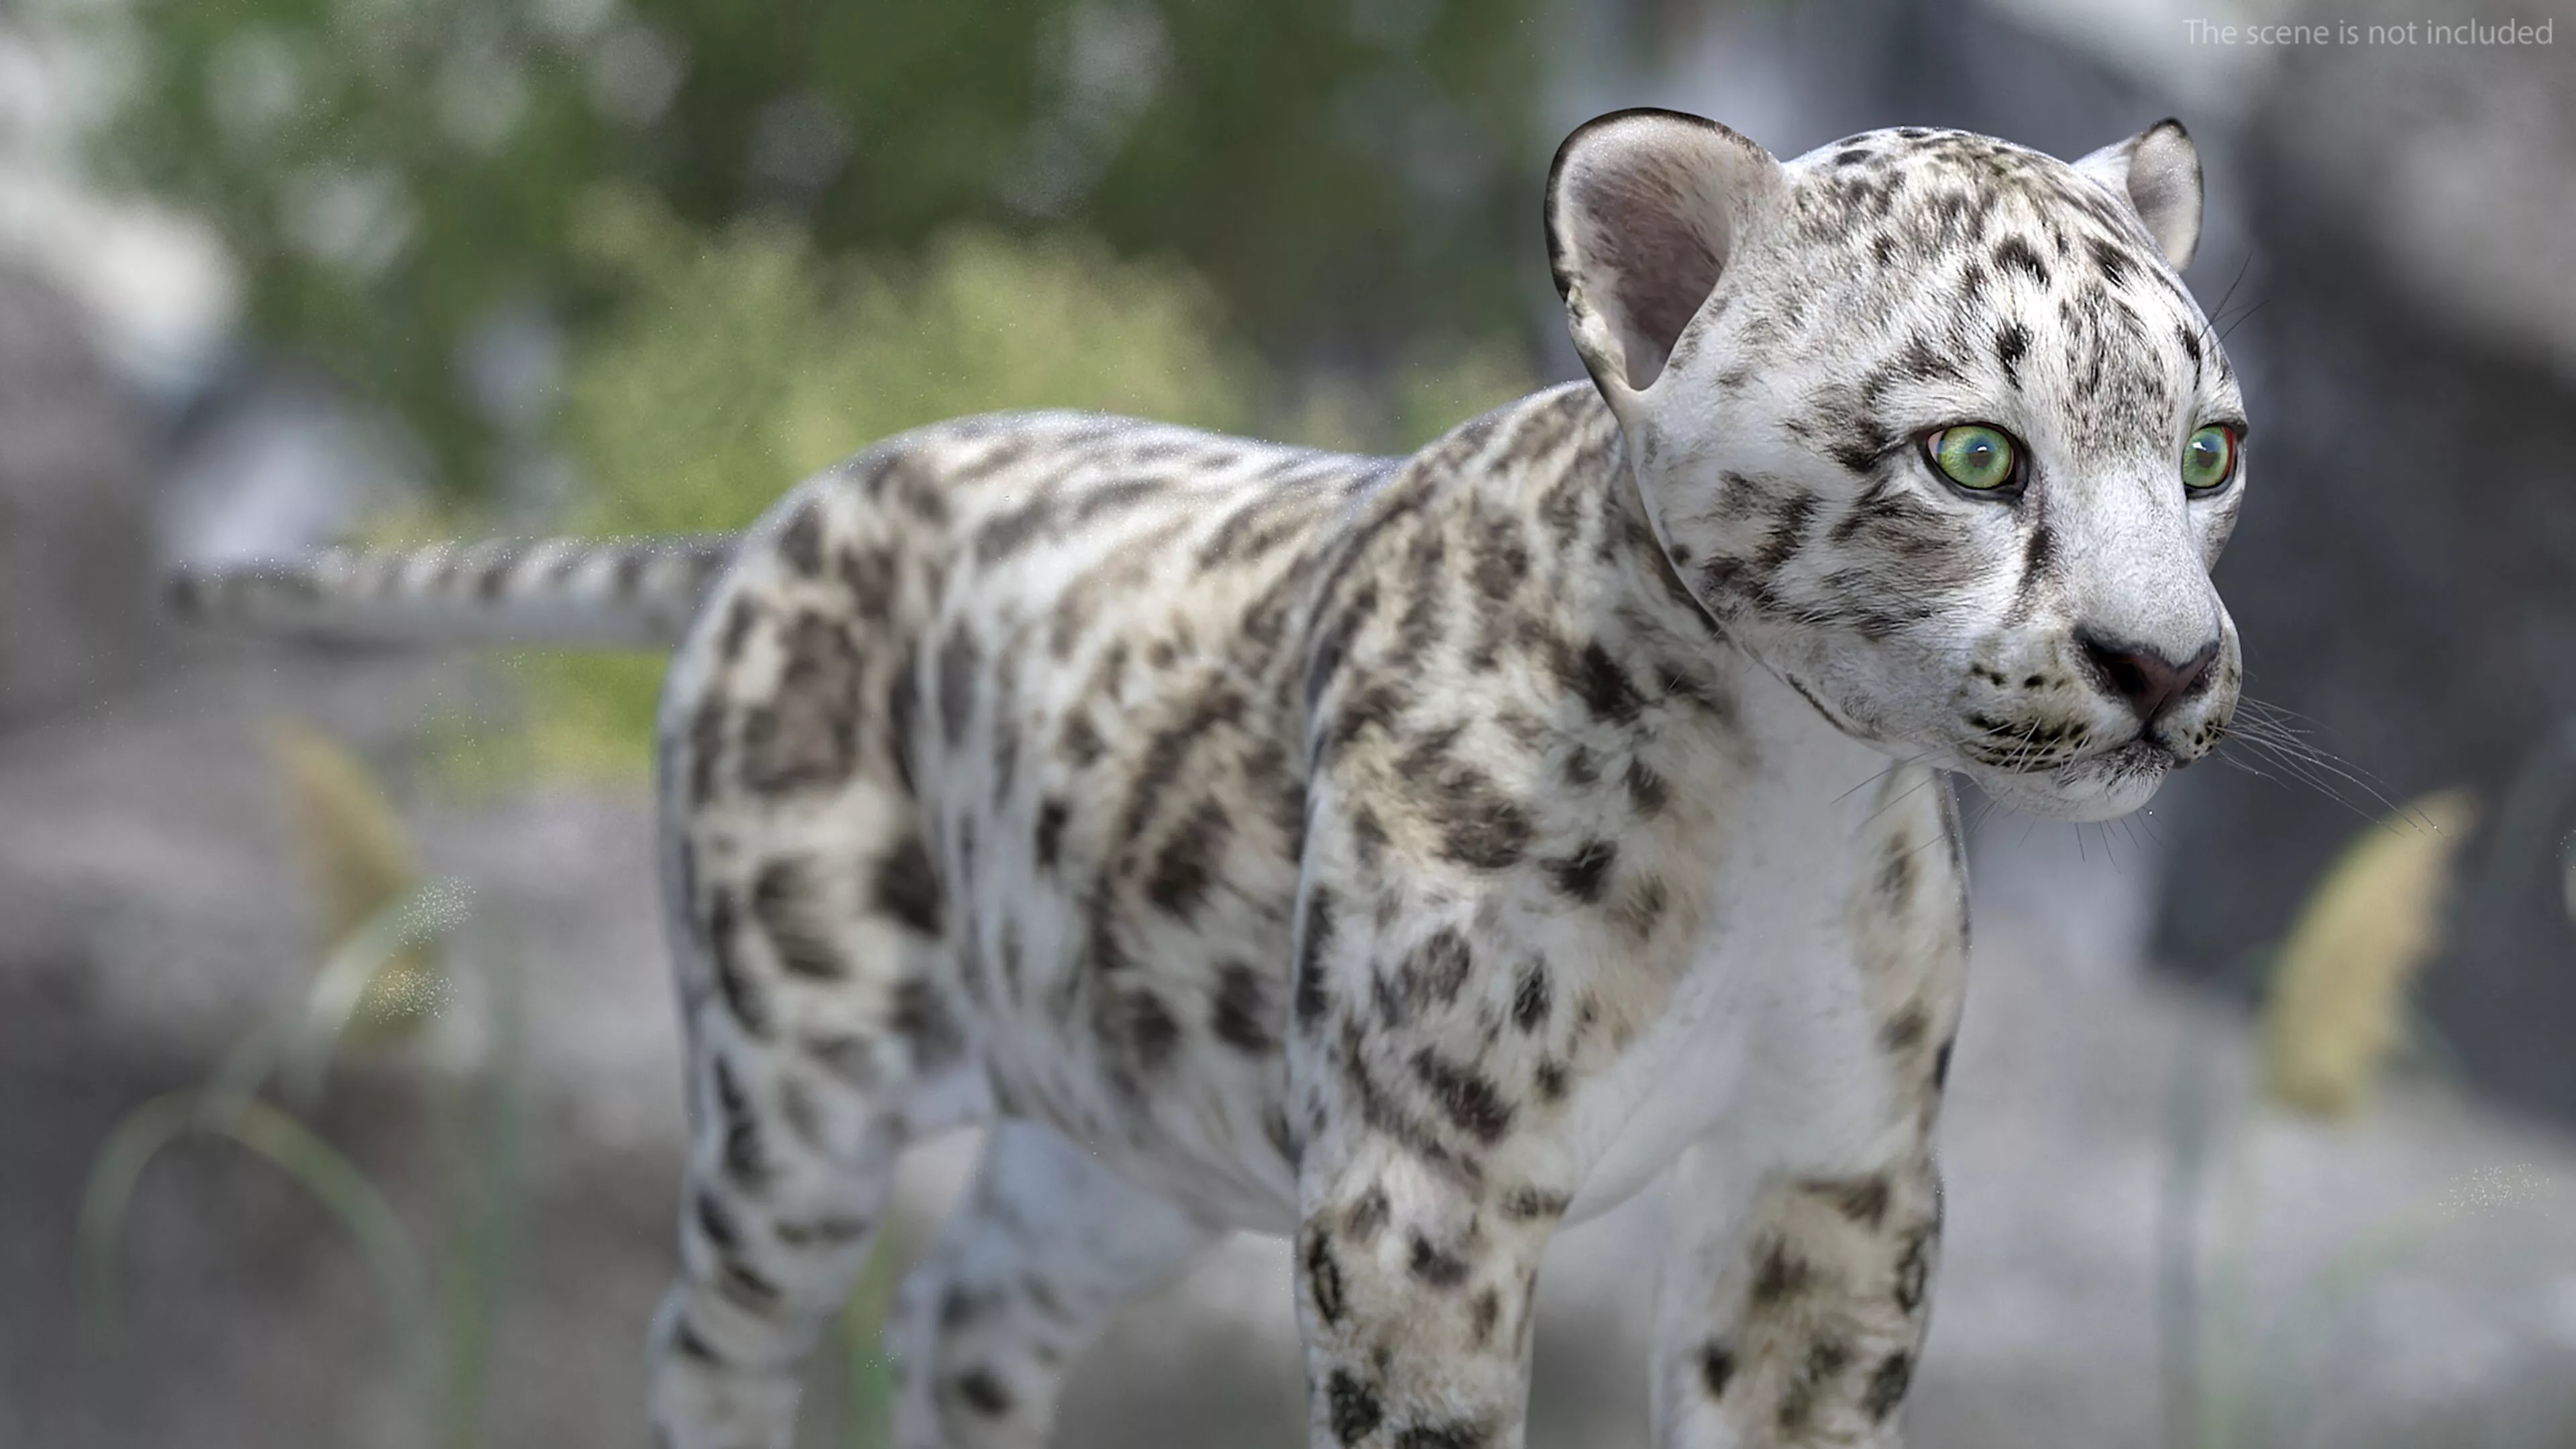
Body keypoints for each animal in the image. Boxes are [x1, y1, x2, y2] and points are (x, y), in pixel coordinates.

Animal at [172, 109, 2248, 1448]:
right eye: (1972, 455)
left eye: (2208, 448)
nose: (2168, 666)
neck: (1790, 806)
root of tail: (784, 510)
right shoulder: (1425, 1187)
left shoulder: (1834, 1161)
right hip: (799, 1077)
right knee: (719, 1332)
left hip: (1130, 1138)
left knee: (961, 1310)